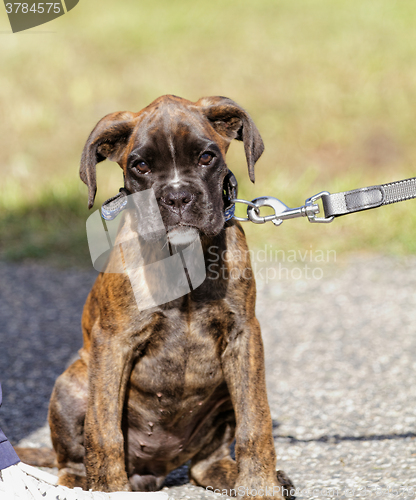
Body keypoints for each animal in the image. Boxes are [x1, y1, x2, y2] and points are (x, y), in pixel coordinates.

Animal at [47, 95, 294, 498]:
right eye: (141, 166)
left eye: (207, 157)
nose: (177, 197)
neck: (183, 256)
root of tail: (154, 469)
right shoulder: (113, 343)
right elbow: (104, 432)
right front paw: (109, 488)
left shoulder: (243, 337)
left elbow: (255, 421)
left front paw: (260, 486)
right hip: (73, 384)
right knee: (71, 462)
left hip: (223, 393)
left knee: (205, 464)